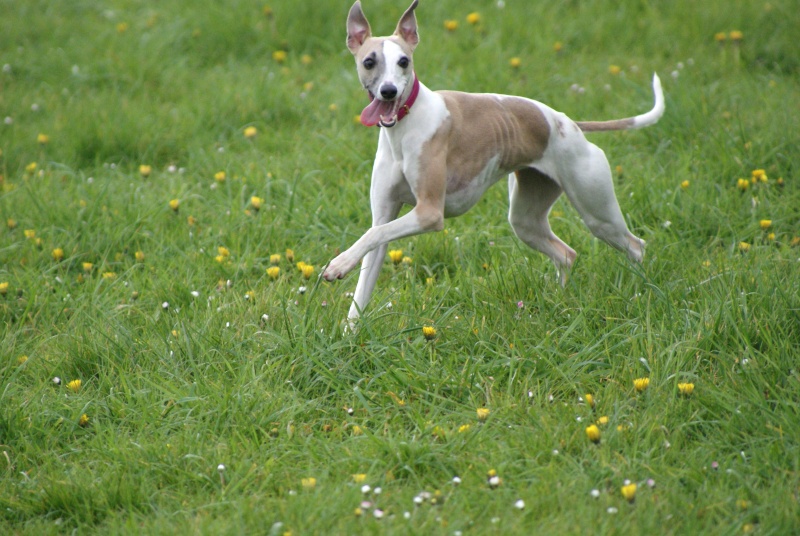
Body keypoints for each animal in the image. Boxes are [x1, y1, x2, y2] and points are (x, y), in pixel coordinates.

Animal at [322, 0, 664, 324]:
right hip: (526, 218)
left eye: (403, 61)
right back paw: (561, 300)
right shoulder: (384, 214)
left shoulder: (429, 212)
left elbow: (372, 234)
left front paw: (338, 264)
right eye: (369, 62)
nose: (389, 91)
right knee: (566, 254)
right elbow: (366, 270)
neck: (405, 126)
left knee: (636, 245)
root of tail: (568, 123)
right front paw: (349, 333)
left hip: (597, 210)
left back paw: (640, 291)